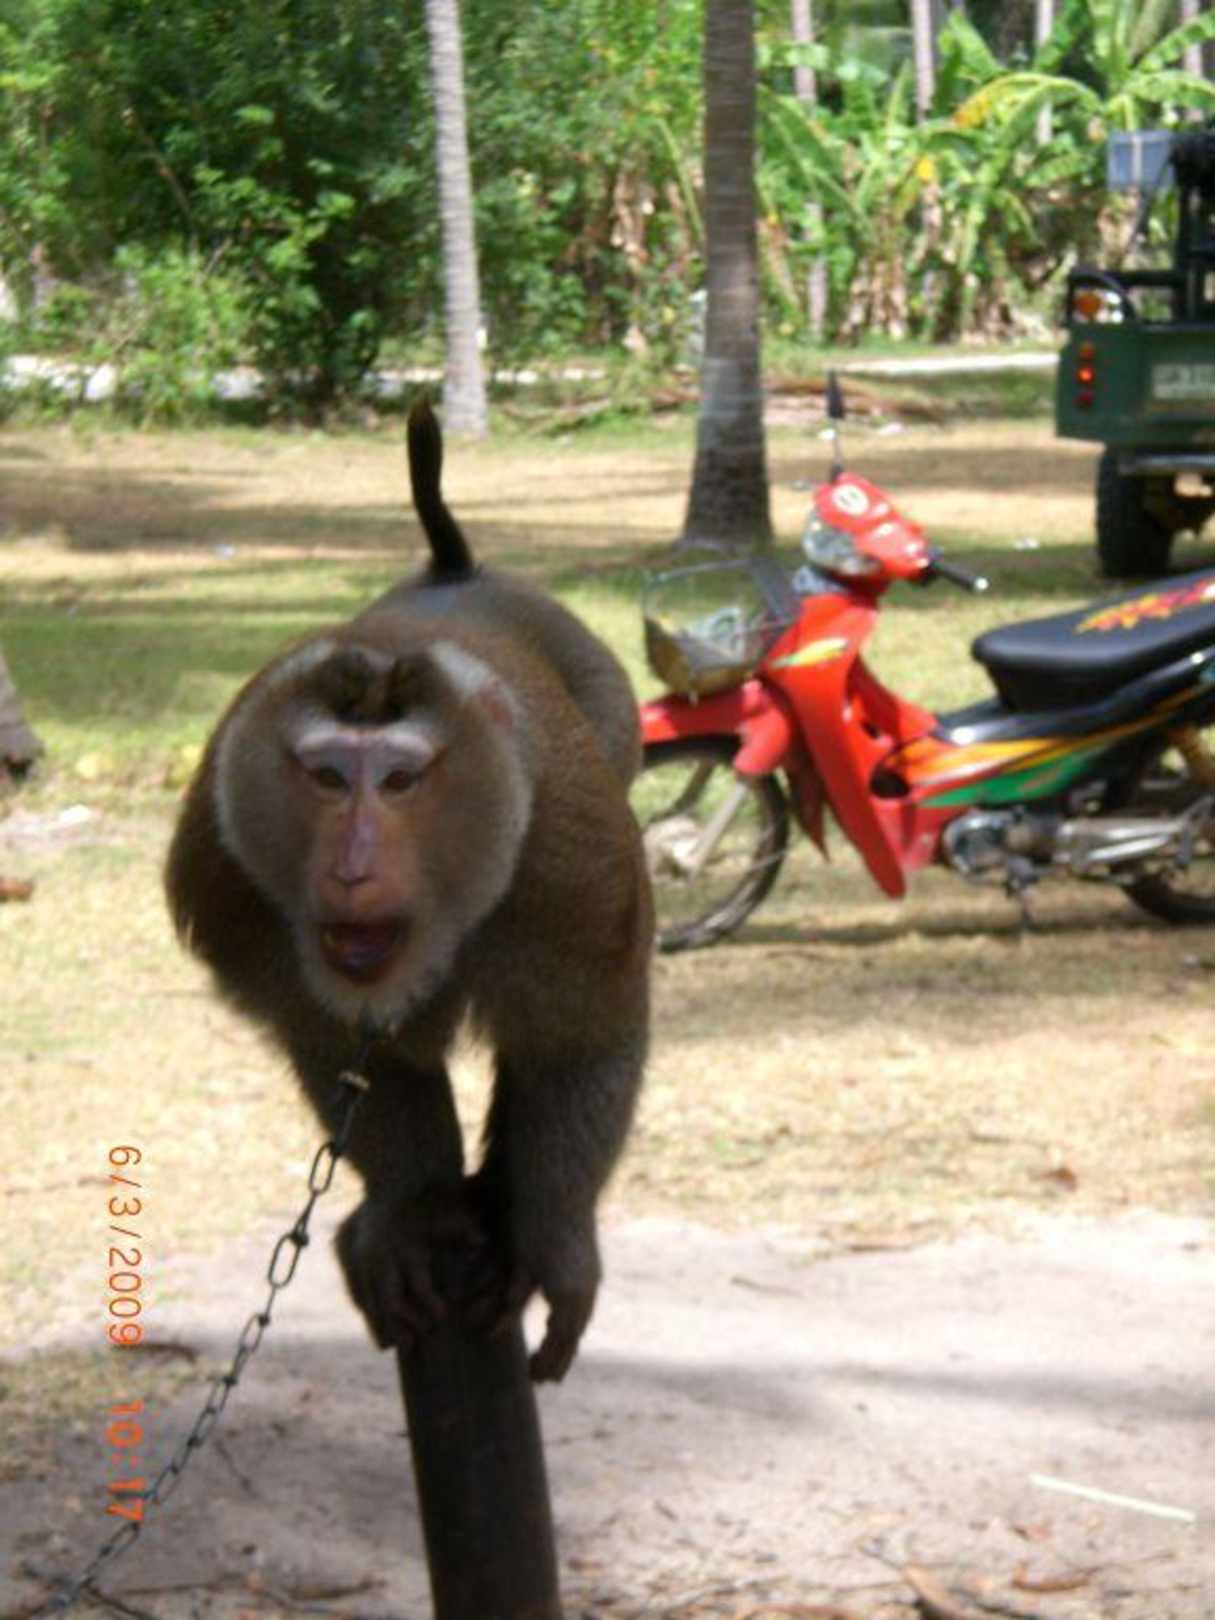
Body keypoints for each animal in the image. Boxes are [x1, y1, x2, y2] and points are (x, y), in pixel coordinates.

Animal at [166, 400, 652, 1382]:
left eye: (398, 782)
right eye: (324, 778)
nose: (352, 865)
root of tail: (452, 572)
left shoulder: (574, 871)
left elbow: (582, 1033)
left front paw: (557, 1238)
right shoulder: (230, 888)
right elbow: (344, 1046)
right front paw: (411, 1211)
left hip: (610, 712)